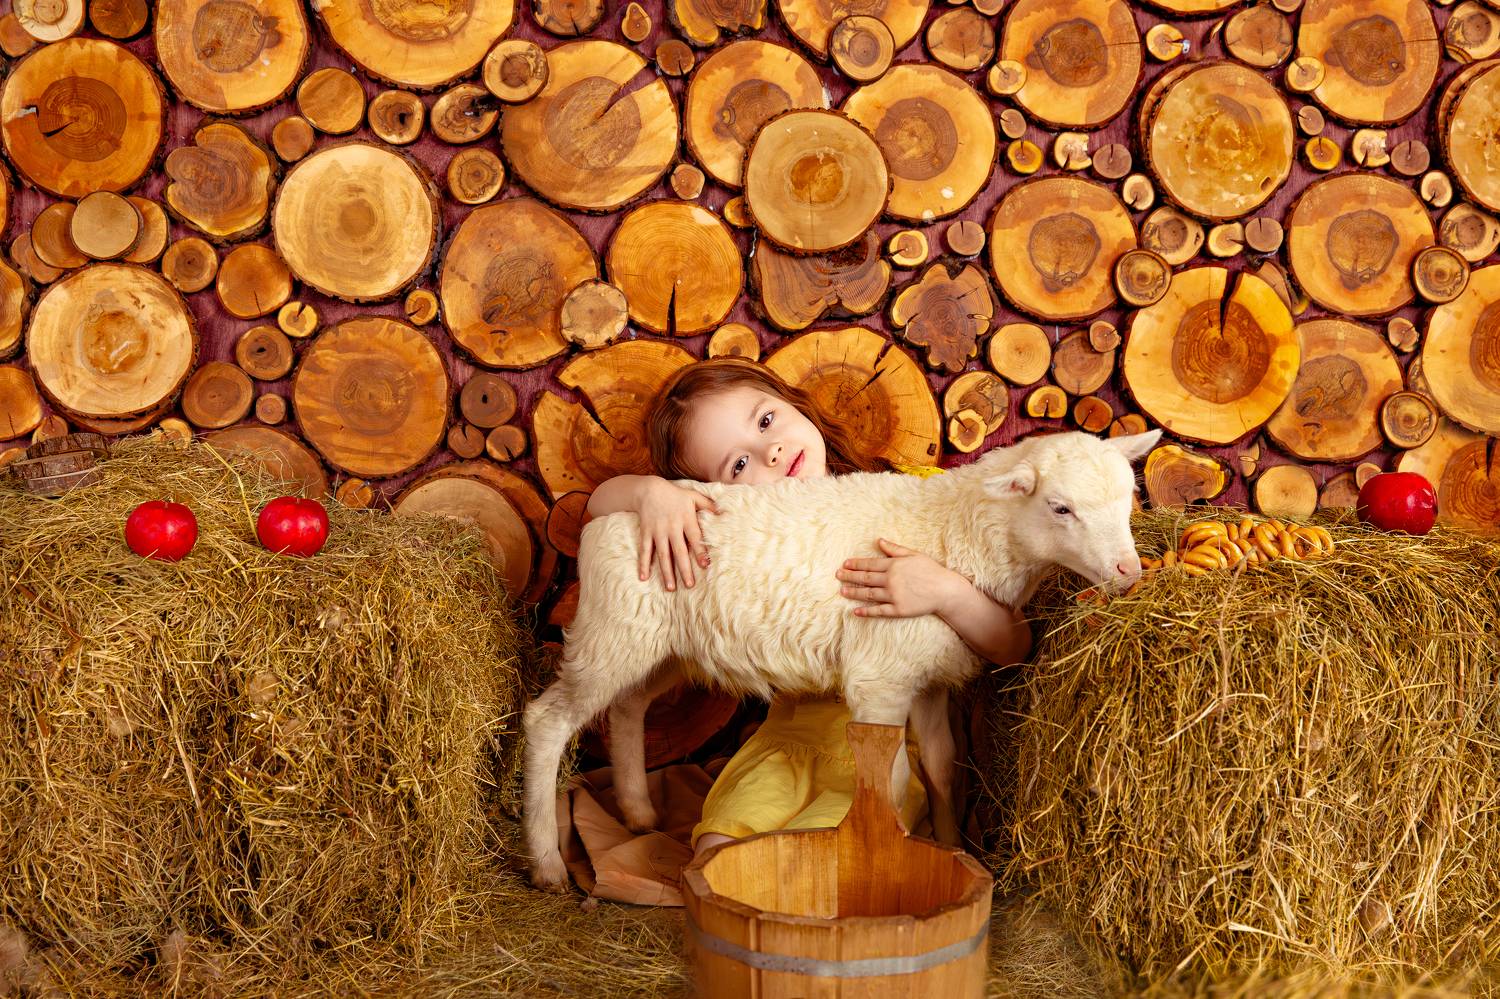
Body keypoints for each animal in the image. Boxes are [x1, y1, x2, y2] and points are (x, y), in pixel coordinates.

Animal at [523, 428, 1161, 888]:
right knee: (548, 721)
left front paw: (950, 847)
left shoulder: (927, 679)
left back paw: (638, 813)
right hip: (614, 631)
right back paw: (547, 862)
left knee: (627, 708)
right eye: (1060, 508)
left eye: (1128, 497)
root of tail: (605, 520)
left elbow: (941, 766)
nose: (1129, 572)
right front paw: (891, 857)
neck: (954, 533)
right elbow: (893, 779)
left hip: (661, 647)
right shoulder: (881, 679)